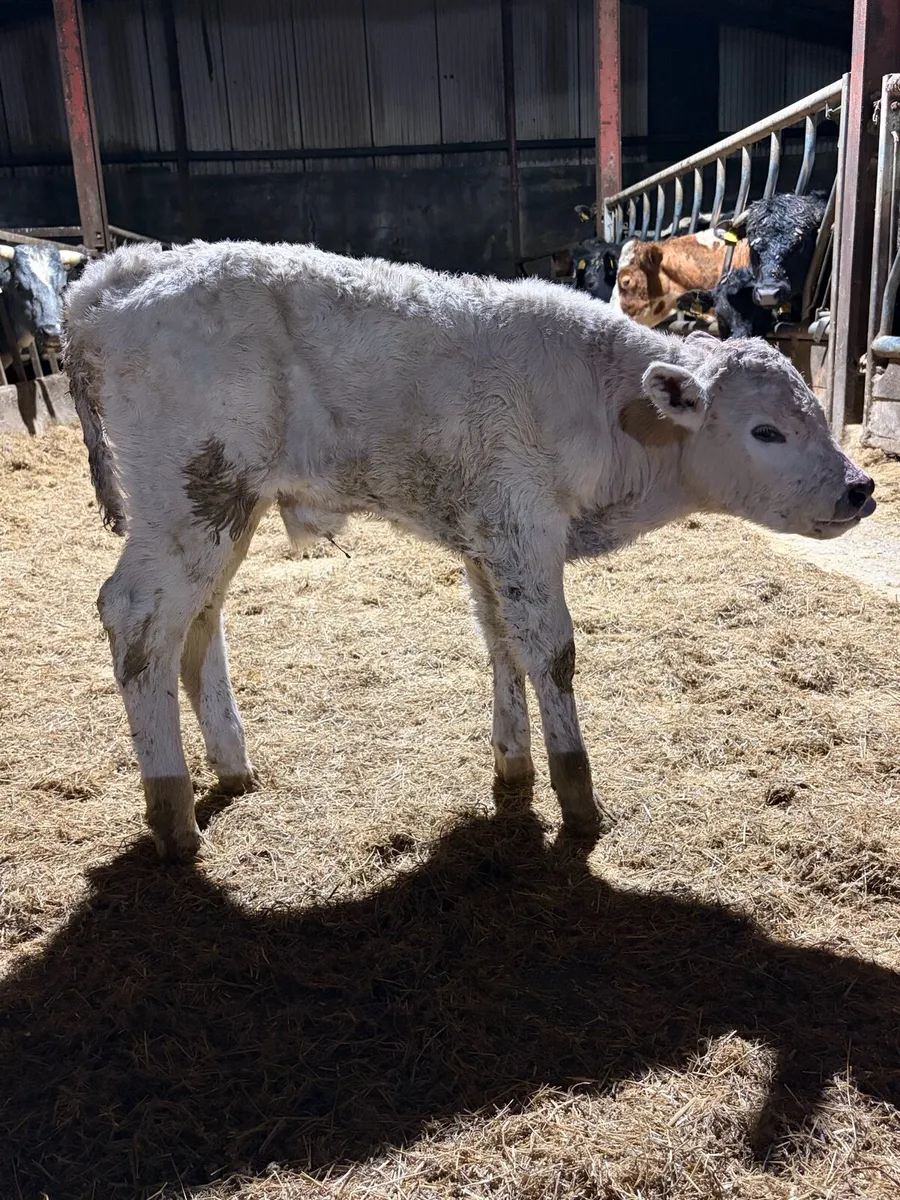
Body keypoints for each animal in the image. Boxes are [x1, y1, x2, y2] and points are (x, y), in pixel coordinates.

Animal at [65, 241, 876, 864]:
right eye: (766, 431)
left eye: (815, 411)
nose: (860, 488)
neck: (603, 403)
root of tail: (121, 273)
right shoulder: (524, 526)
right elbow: (551, 651)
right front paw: (578, 800)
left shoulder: (486, 540)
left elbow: (500, 643)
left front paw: (513, 770)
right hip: (189, 495)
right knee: (137, 619)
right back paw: (173, 818)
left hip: (227, 510)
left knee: (198, 622)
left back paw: (231, 768)